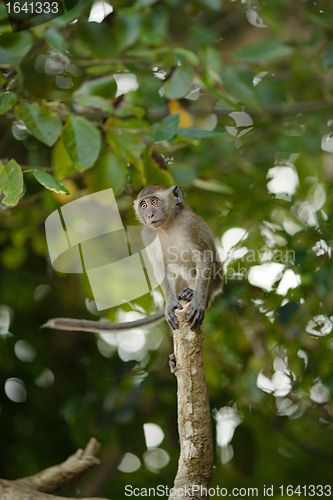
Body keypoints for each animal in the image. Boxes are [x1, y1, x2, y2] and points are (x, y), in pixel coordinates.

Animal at [43, 186, 220, 334]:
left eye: (154, 202)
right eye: (144, 206)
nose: (150, 214)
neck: (167, 226)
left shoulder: (189, 224)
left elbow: (204, 255)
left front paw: (197, 301)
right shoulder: (148, 234)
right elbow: (159, 266)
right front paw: (170, 303)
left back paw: (192, 292)